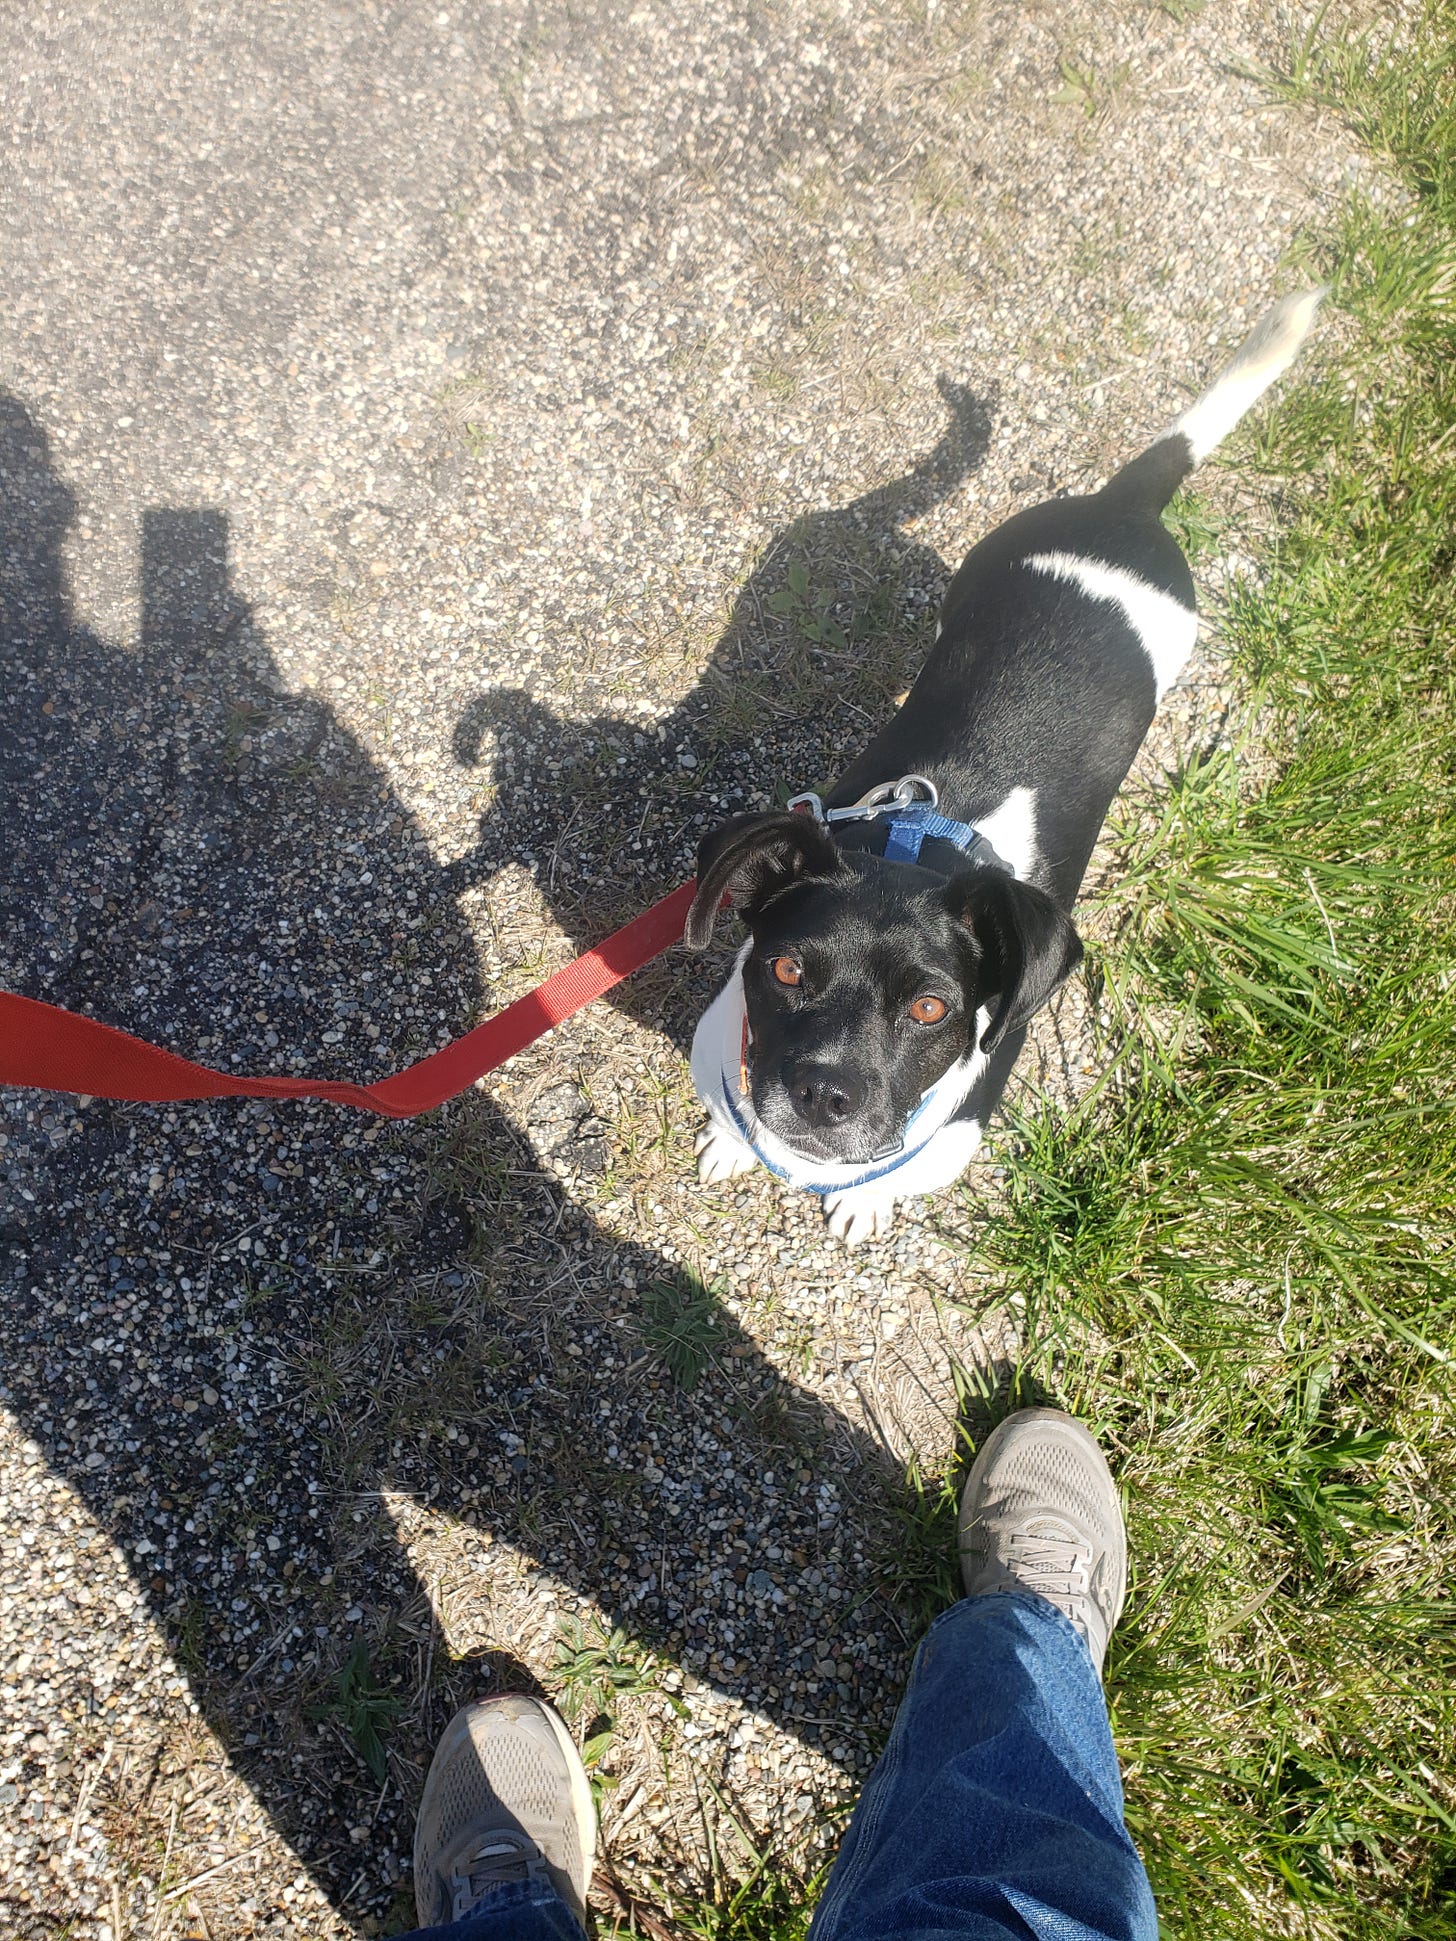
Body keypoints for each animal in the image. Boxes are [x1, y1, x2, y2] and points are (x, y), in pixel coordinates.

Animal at [684, 289, 1325, 1243]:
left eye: (931, 1008)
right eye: (787, 969)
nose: (824, 1093)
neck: (917, 839)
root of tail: (1121, 508)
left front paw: (864, 1201)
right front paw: (733, 1141)